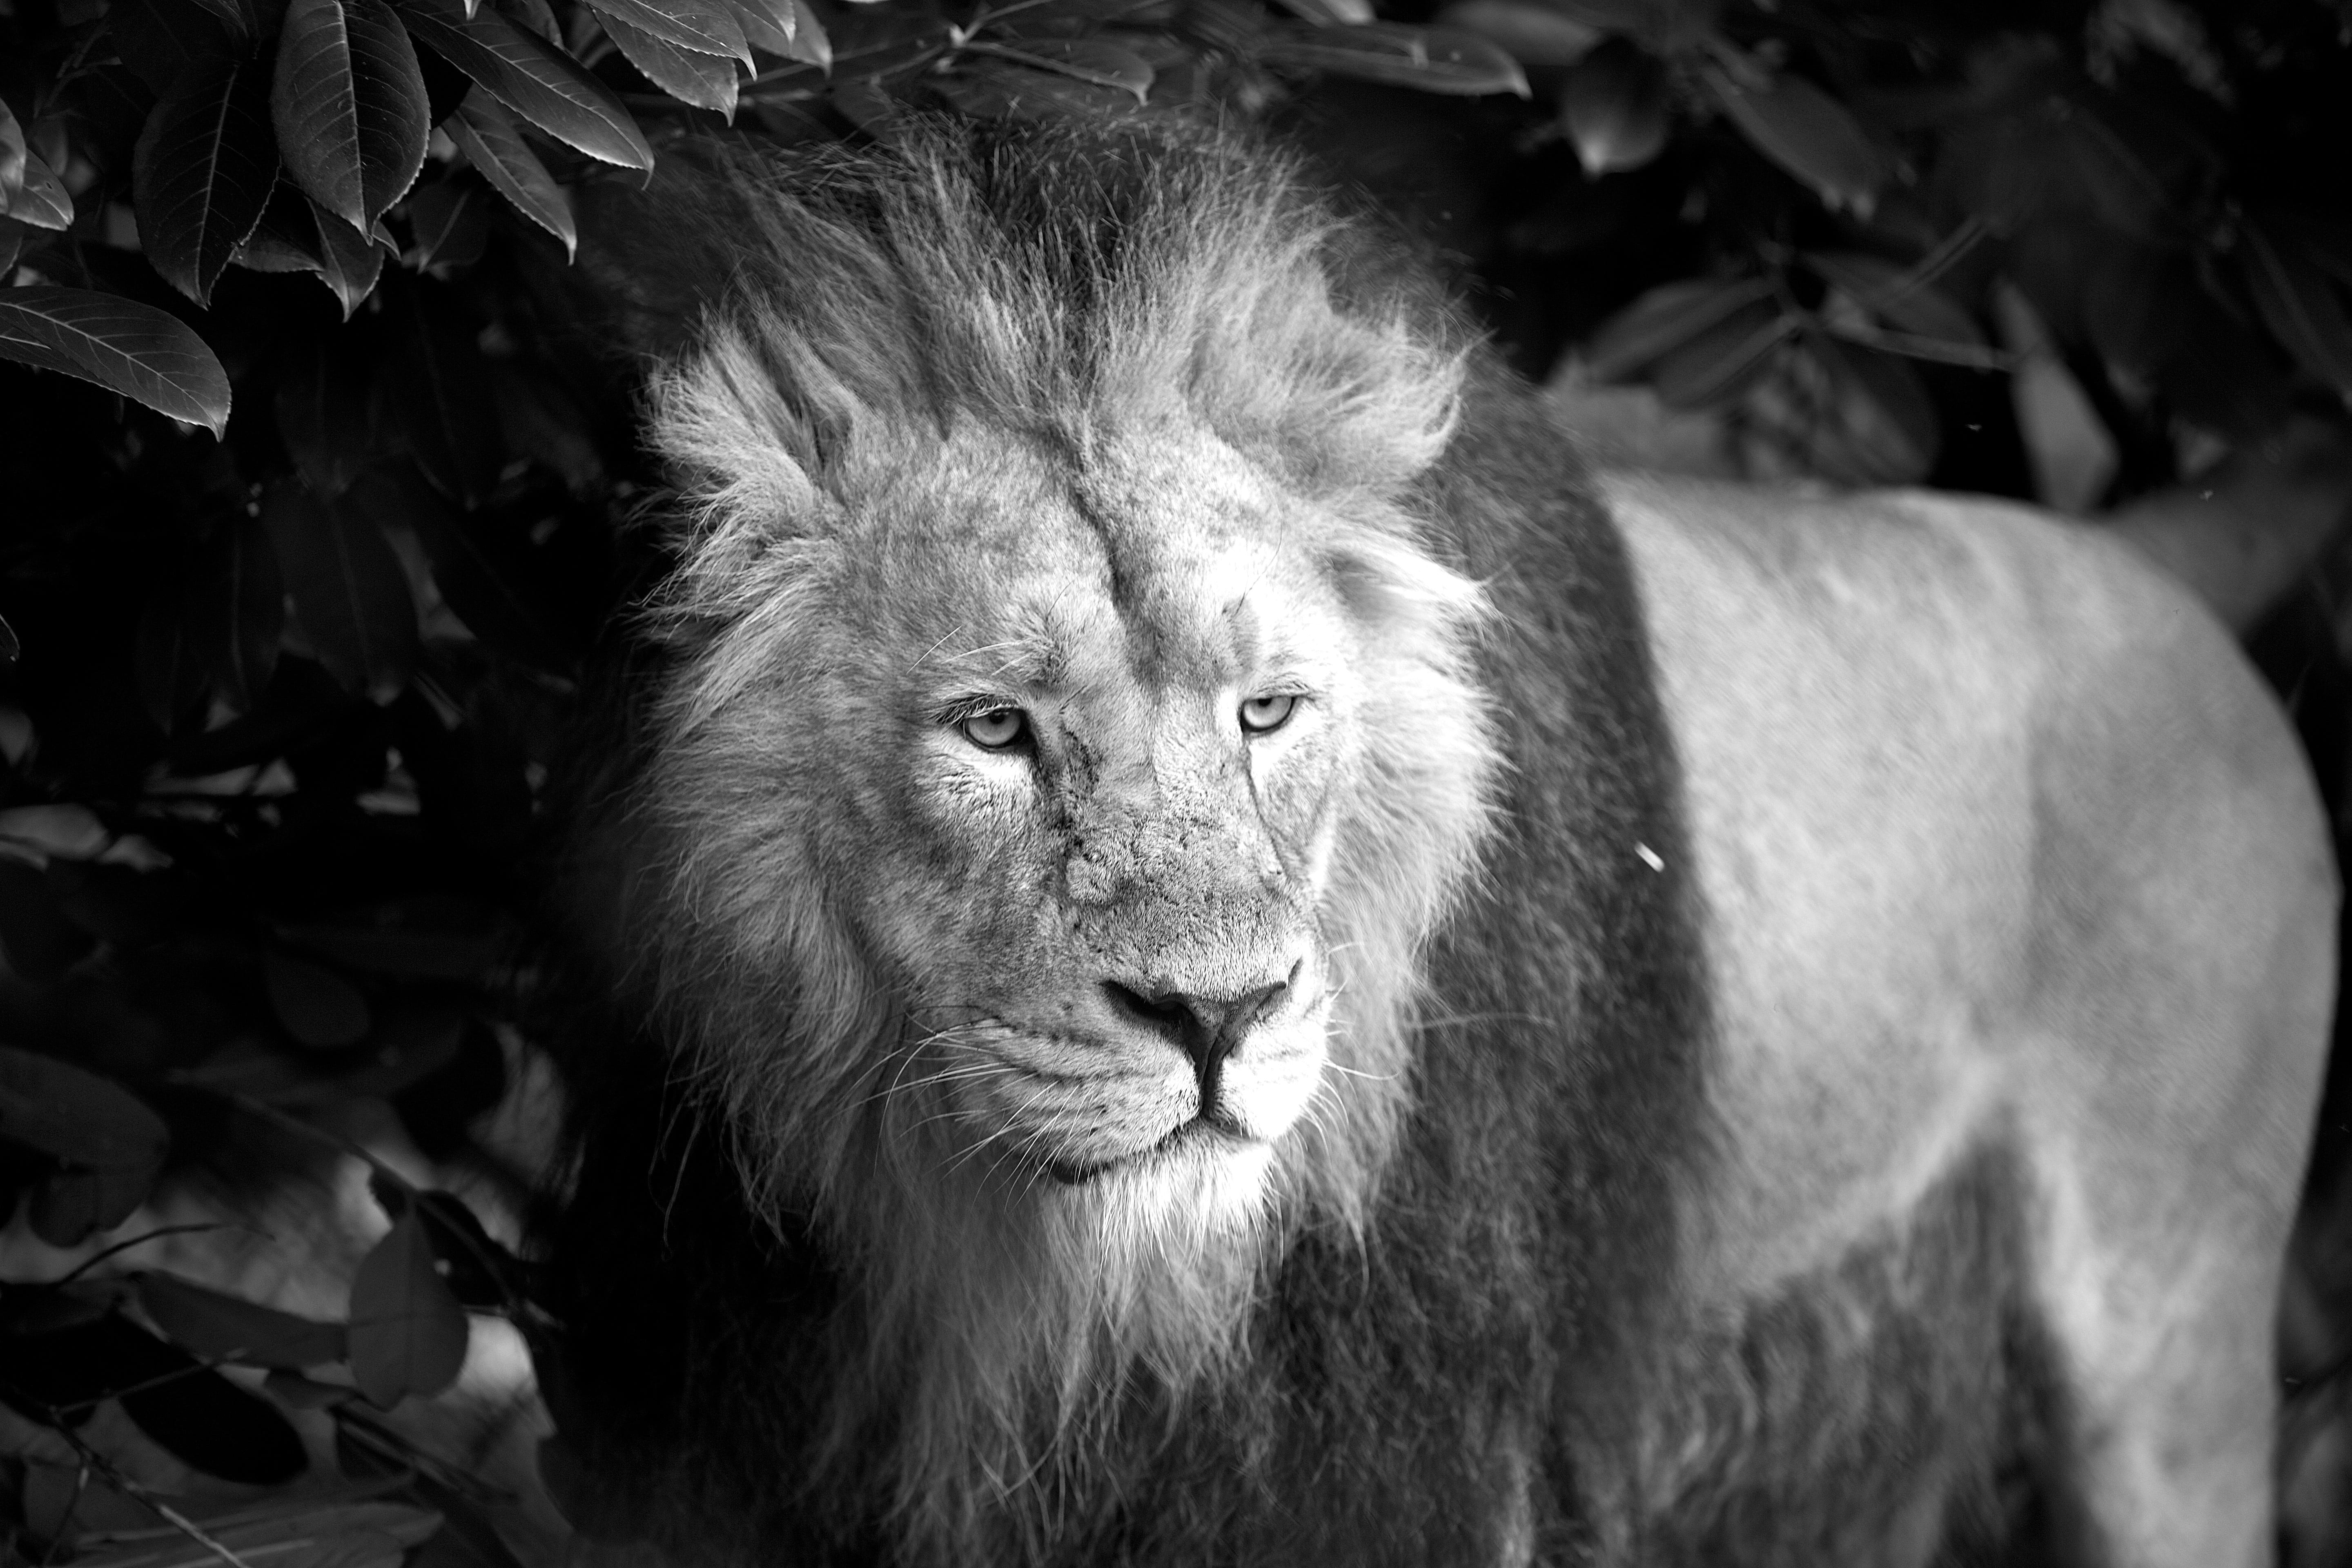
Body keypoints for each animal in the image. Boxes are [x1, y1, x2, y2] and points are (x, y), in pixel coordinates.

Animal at [537, 118, 2339, 1568]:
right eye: (994, 729)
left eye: (1269, 713)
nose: (1218, 1020)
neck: (1049, 1300)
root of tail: (2144, 567)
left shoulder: (1407, 1453)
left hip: (2173, 1334)